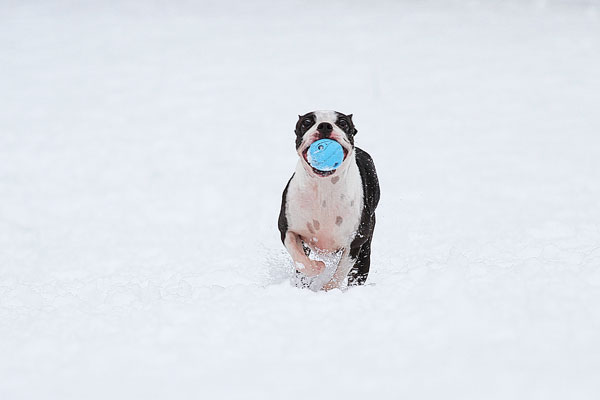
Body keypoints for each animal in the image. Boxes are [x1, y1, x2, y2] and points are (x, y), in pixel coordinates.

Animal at [278, 110, 380, 290]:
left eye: (343, 123)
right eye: (307, 122)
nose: (325, 125)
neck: (323, 188)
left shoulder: (354, 243)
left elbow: (339, 274)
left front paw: (327, 290)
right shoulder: (287, 228)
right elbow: (300, 259)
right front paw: (317, 267)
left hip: (365, 249)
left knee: (357, 274)